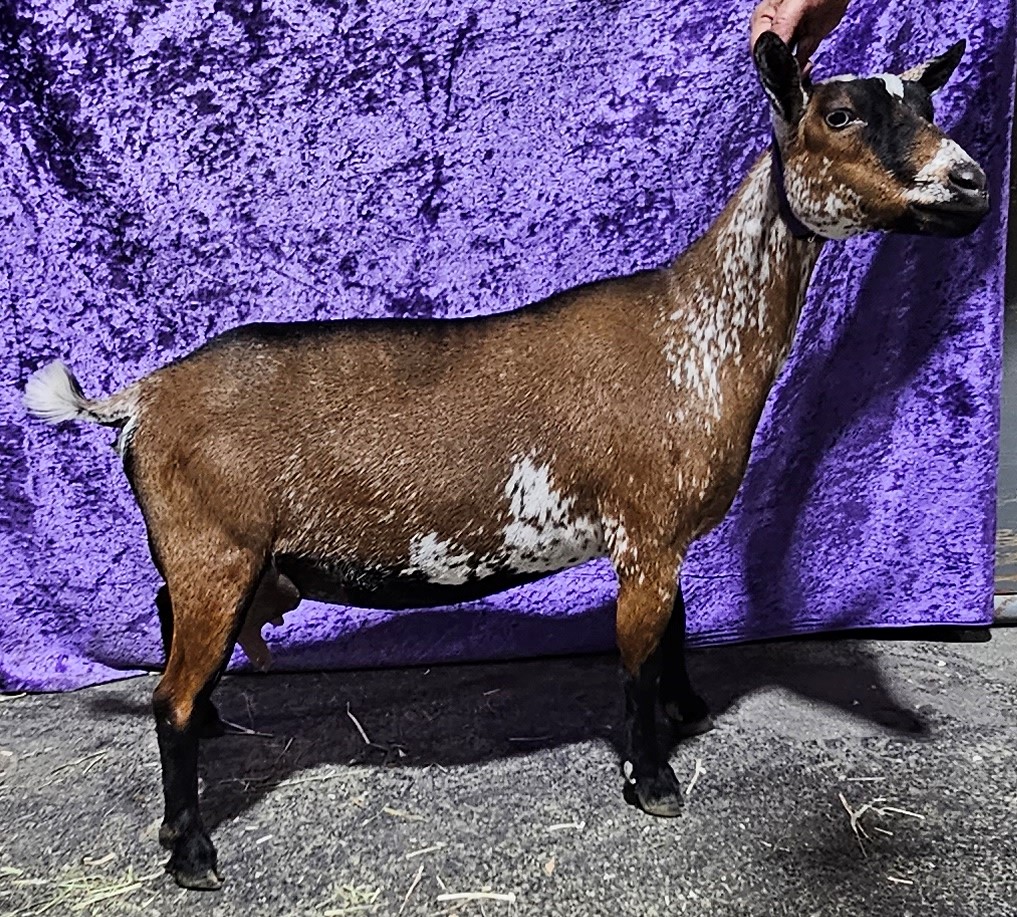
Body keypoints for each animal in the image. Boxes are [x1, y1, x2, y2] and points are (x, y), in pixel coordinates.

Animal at [23, 34, 988, 889]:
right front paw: (654, 781)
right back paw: (192, 853)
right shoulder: (646, 529)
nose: (970, 183)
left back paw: (214, 743)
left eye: (928, 104)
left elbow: (676, 626)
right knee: (169, 699)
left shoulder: (659, 537)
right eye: (839, 114)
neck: (695, 330)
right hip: (216, 551)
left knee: (168, 634)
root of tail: (142, 396)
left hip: (207, 559)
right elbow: (637, 654)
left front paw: (687, 709)